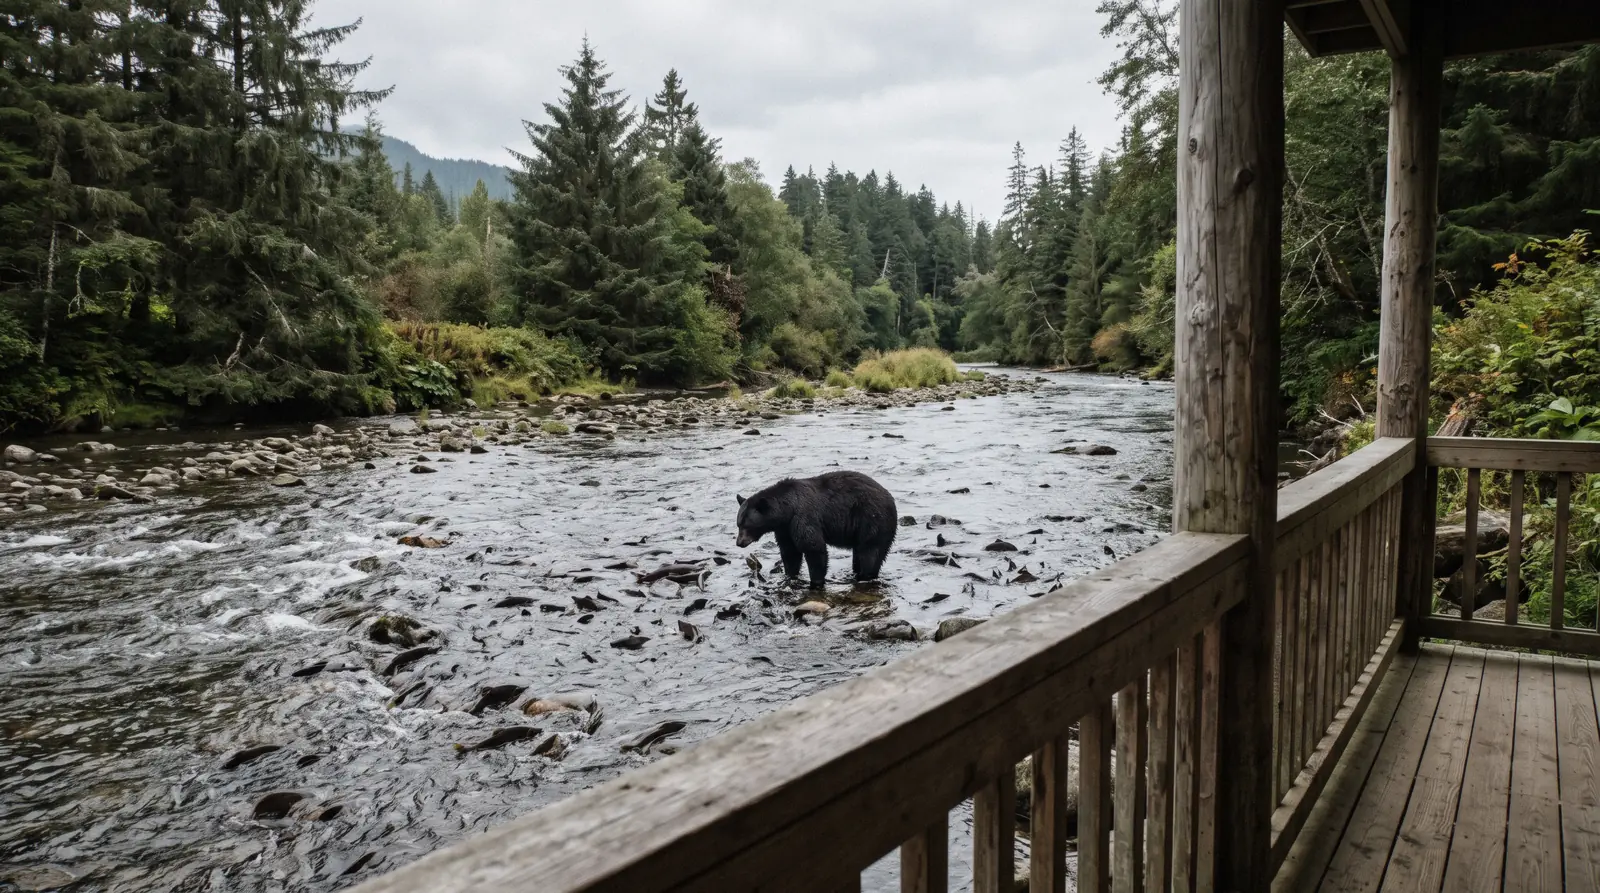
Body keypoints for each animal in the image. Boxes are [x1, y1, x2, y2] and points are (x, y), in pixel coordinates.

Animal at [735, 471, 898, 588]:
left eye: (746, 525)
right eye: (738, 524)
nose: (739, 542)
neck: (788, 509)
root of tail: (891, 499)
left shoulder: (803, 517)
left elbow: (813, 547)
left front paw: (815, 582)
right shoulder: (785, 528)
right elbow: (790, 552)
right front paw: (790, 576)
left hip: (873, 520)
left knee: (870, 553)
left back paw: (864, 577)